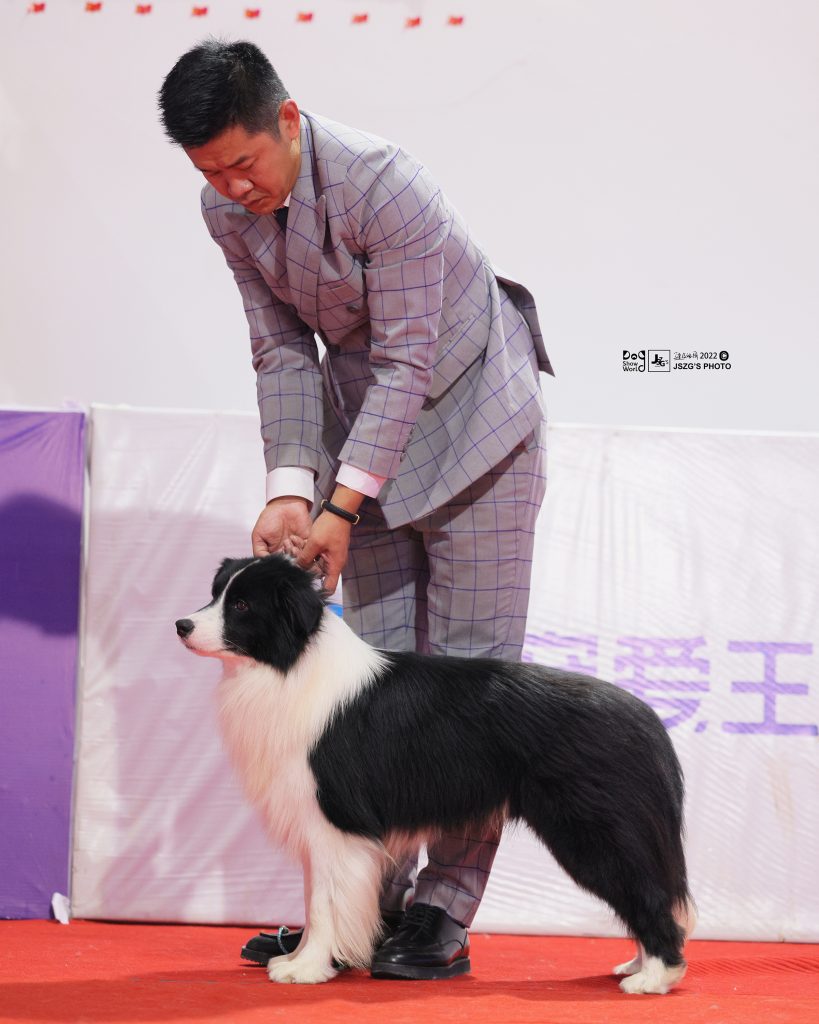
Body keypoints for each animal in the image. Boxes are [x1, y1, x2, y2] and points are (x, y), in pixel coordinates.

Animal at [176, 554, 695, 993]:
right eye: (216, 592)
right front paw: (298, 957)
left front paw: (307, 968)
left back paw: (654, 977)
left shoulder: (336, 821)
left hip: (594, 830)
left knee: (647, 894)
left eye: (242, 605)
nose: (181, 625)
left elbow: (324, 903)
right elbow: (316, 897)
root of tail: (647, 719)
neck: (292, 663)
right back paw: (636, 964)